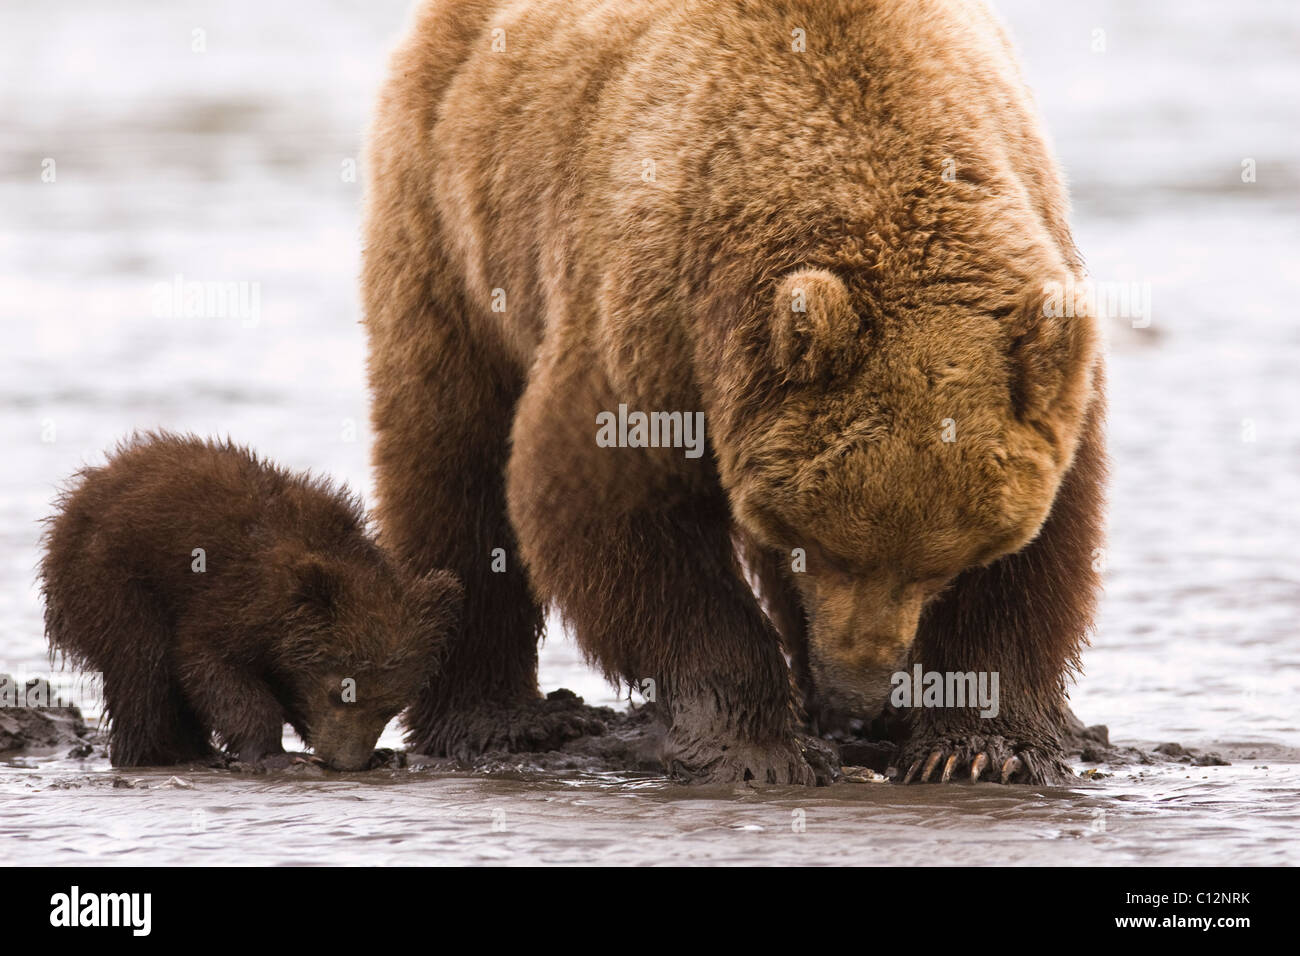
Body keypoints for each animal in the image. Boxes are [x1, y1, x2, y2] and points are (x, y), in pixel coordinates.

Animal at [40, 432, 463, 770]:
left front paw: (383, 752)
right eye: (340, 692)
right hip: (112, 575)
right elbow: (208, 661)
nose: (346, 762)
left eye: (391, 705)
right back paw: (163, 752)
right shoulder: (240, 597)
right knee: (143, 666)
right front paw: (277, 755)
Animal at [362, 0, 1105, 784]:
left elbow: (1040, 550)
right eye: (825, 549)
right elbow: (613, 515)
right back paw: (497, 721)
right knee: (453, 459)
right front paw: (759, 745)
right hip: (452, 228)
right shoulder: (654, 321)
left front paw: (980, 749)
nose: (856, 693)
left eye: (940, 567)